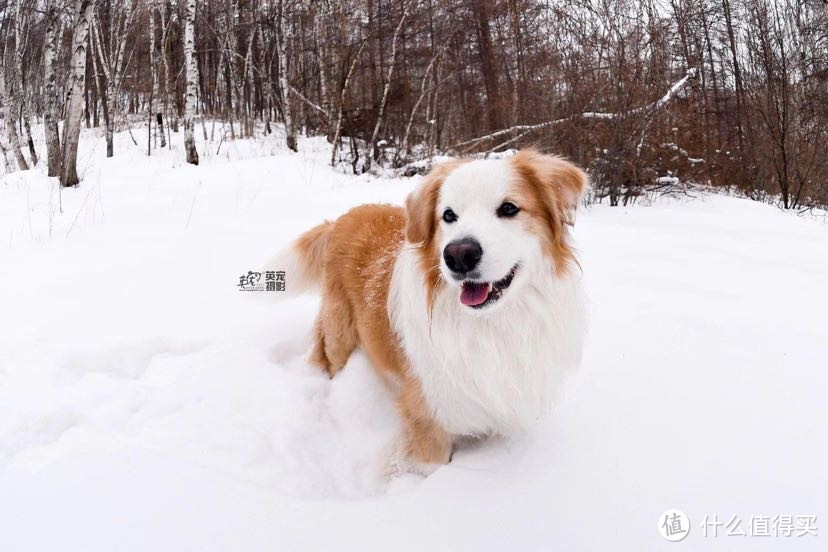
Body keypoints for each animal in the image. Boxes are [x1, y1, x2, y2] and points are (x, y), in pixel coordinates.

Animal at [284, 150, 588, 470]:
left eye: (509, 208)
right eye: (448, 215)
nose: (459, 255)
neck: (492, 323)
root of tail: (342, 218)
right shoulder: (427, 412)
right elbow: (434, 463)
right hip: (339, 331)